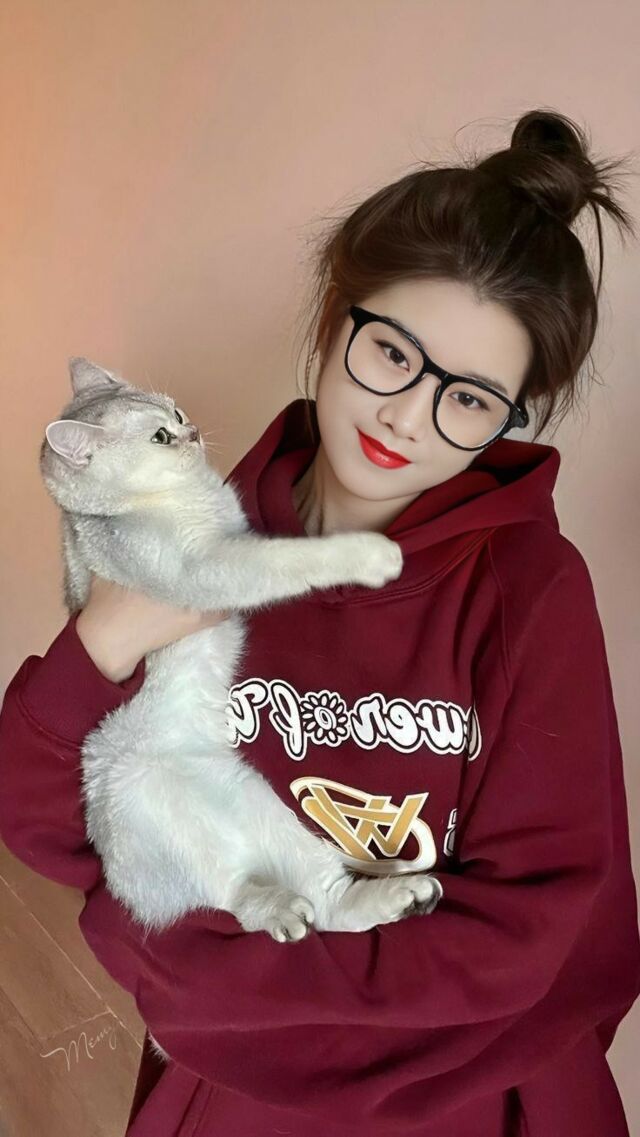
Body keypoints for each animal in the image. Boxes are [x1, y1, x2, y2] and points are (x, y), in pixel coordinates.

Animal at [40, 357, 444, 946]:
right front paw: (366, 554)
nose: (190, 431)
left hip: (259, 804)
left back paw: (399, 896)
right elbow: (283, 560)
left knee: (328, 902)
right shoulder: (208, 568)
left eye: (177, 412)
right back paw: (279, 911)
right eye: (159, 437)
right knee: (230, 893)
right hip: (141, 801)